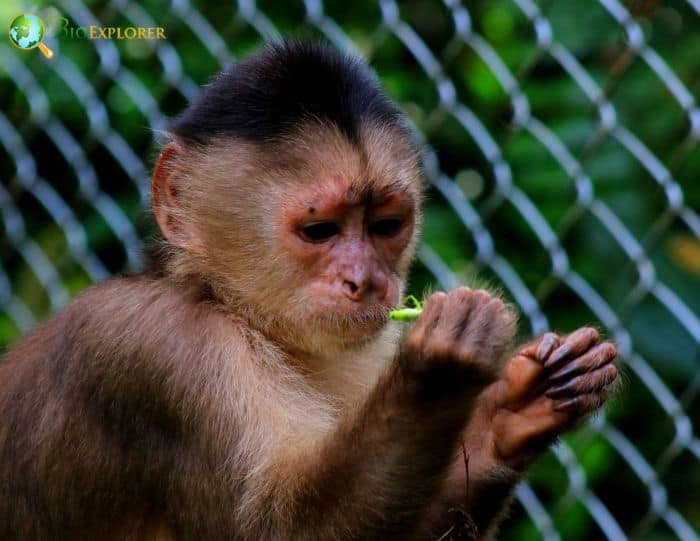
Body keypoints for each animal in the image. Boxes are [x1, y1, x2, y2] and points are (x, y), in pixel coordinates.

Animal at [0, 41, 616, 540]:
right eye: (320, 231)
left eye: (385, 225)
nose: (366, 280)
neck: (228, 303)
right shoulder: (159, 351)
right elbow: (281, 529)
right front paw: (442, 366)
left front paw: (512, 412)